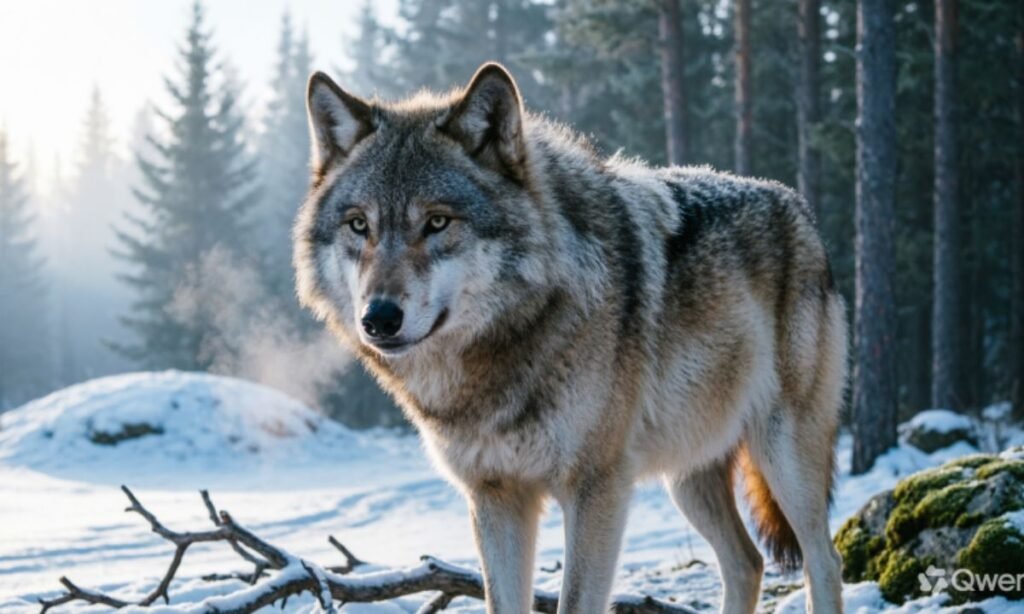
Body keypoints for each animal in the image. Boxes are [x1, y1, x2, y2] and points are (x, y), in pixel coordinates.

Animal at [294, 62, 847, 614]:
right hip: (687, 476)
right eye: (359, 225)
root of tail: (799, 208)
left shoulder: (596, 489)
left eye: (437, 222)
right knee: (747, 562)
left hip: (783, 454)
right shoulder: (494, 497)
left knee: (824, 559)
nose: (378, 318)